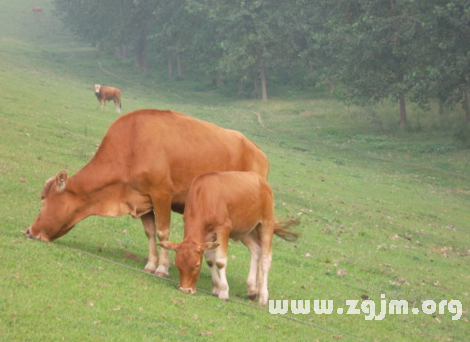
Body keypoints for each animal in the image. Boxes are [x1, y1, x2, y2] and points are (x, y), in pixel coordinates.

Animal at [23, 109, 270, 278]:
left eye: (43, 203)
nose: (30, 231)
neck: (132, 145)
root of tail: (258, 152)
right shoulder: (142, 200)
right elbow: (150, 233)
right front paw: (151, 264)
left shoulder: (162, 194)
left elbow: (162, 232)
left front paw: (162, 267)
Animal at [158, 171, 298, 304]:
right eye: (177, 264)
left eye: (197, 265)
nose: (185, 290)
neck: (205, 196)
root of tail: (261, 180)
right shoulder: (207, 236)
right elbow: (210, 260)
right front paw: (216, 287)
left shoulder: (223, 229)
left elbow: (220, 261)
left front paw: (224, 292)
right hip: (245, 230)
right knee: (256, 249)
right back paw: (252, 290)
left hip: (266, 224)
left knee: (265, 257)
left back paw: (263, 296)